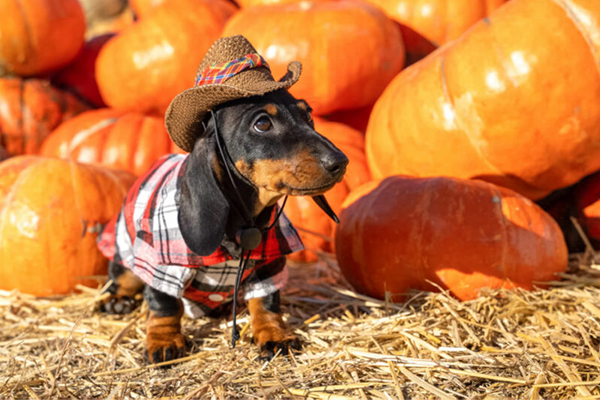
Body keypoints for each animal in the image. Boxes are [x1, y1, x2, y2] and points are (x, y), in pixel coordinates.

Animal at [97, 36, 346, 364]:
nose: (340, 162)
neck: (244, 220)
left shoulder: (268, 263)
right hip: (125, 250)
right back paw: (116, 300)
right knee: (123, 278)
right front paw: (164, 341)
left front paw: (274, 334)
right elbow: (164, 304)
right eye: (262, 123)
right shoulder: (162, 263)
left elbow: (266, 302)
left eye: (308, 115)